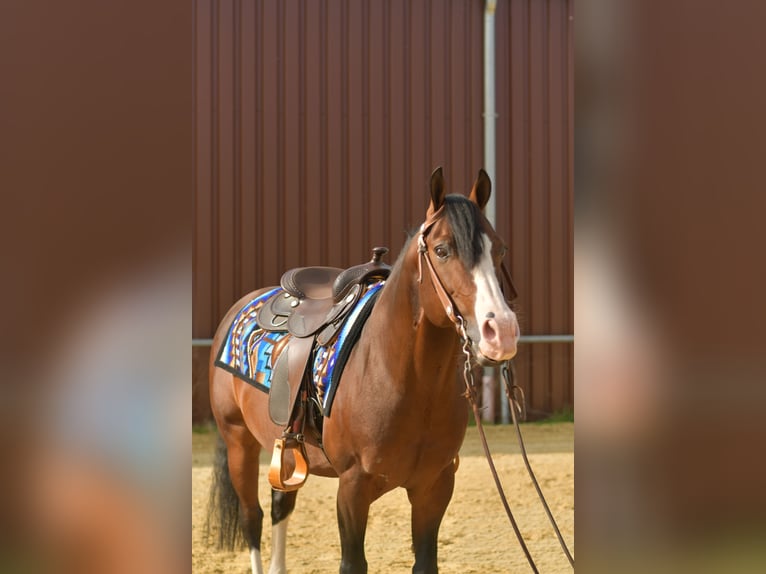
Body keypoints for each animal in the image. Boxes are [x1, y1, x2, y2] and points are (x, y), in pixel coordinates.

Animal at [206, 167, 520, 574]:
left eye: (500, 249)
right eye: (442, 250)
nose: (502, 331)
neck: (402, 379)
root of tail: (240, 306)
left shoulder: (435, 486)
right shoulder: (353, 488)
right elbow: (353, 562)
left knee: (280, 505)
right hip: (238, 440)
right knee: (252, 517)